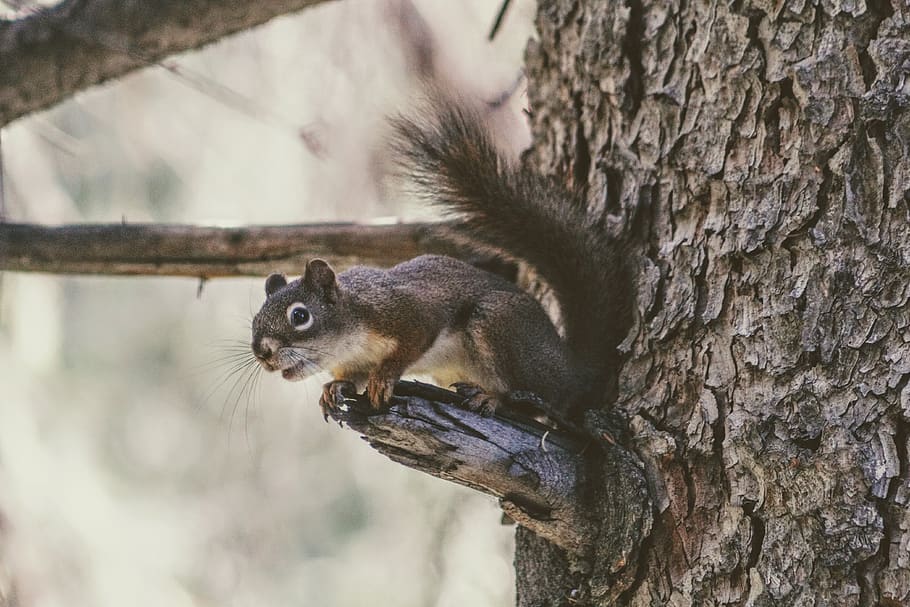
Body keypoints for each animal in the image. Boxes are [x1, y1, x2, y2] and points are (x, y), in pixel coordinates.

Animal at [250, 96, 630, 422]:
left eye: (300, 316)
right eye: (255, 320)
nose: (262, 353)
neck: (353, 326)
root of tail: (573, 370)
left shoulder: (406, 311)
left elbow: (414, 339)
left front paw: (384, 377)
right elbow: (351, 377)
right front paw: (335, 387)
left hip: (500, 325)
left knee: (539, 401)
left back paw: (493, 398)